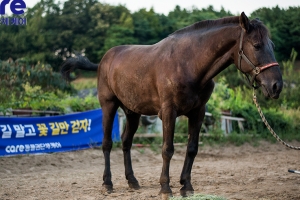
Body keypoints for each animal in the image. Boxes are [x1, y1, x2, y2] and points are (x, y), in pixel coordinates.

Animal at [61, 12, 284, 198]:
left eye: (273, 46)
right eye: (256, 45)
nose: (276, 86)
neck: (188, 64)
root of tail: (103, 62)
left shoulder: (198, 113)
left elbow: (192, 148)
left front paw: (186, 186)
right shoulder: (169, 112)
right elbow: (167, 149)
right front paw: (165, 188)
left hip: (132, 112)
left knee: (126, 142)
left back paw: (132, 181)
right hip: (109, 105)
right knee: (107, 143)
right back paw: (107, 184)